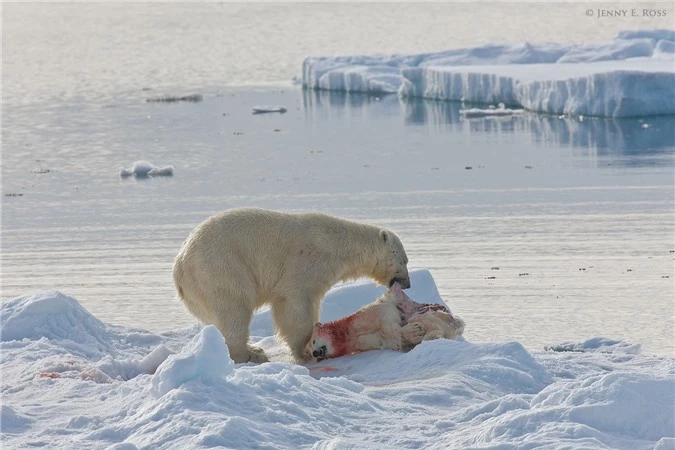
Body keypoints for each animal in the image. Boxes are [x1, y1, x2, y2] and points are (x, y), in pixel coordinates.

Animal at [172, 209, 410, 364]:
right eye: (405, 260)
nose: (407, 283)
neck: (340, 245)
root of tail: (180, 266)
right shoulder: (307, 261)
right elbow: (295, 302)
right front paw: (304, 351)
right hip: (221, 268)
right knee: (234, 309)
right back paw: (250, 353)